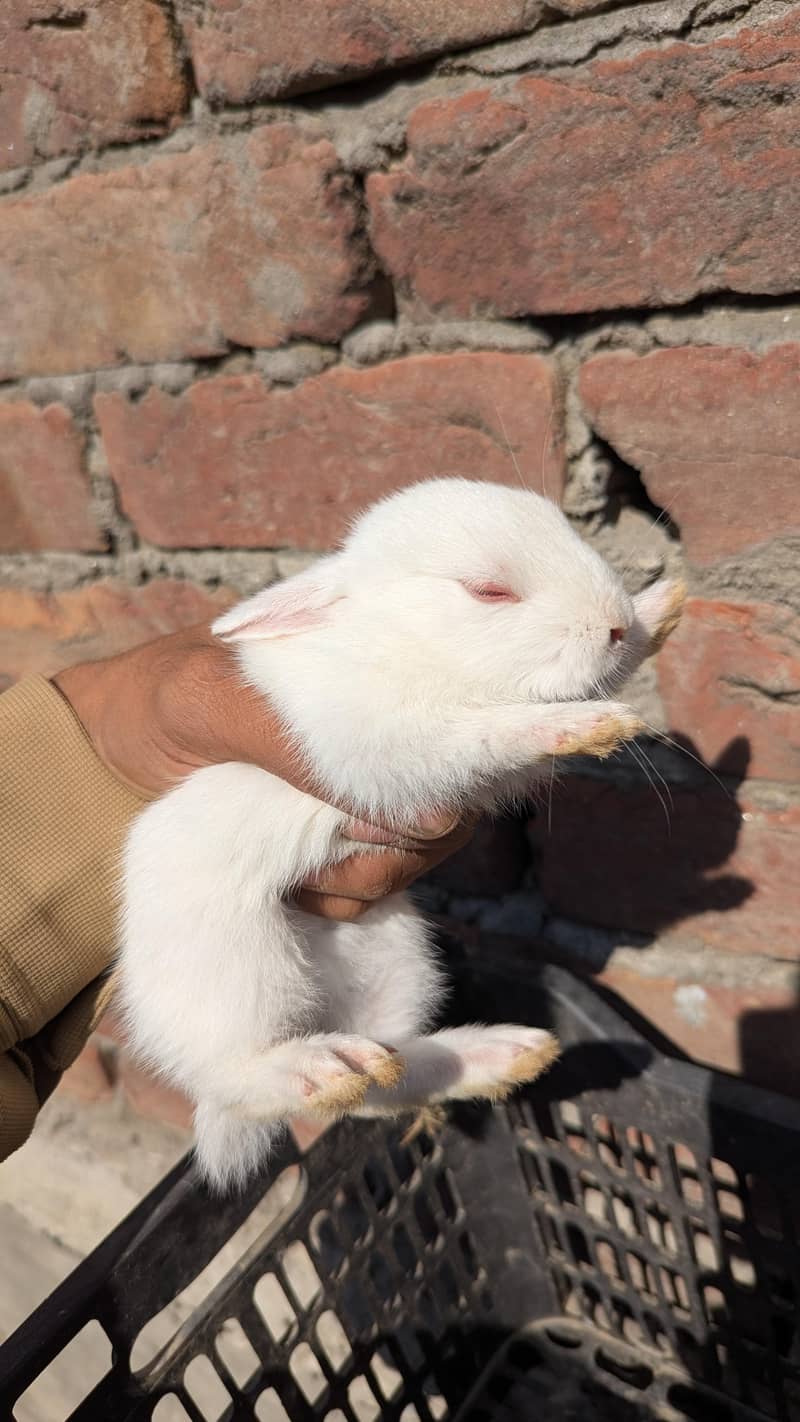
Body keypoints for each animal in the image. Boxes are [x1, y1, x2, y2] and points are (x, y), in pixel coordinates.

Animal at [119, 478, 685, 1191]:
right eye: (488, 591)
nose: (611, 622)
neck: (405, 646)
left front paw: (660, 608)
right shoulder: (398, 749)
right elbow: (489, 730)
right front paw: (588, 722)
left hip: (395, 949)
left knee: (384, 1083)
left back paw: (501, 1053)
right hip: (238, 971)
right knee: (243, 1081)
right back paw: (320, 1067)